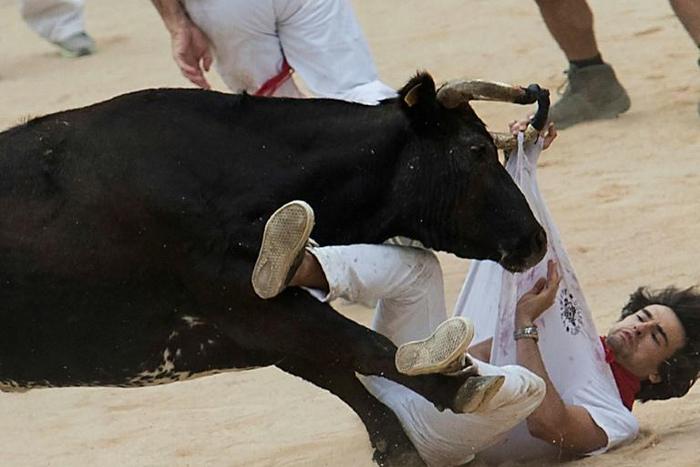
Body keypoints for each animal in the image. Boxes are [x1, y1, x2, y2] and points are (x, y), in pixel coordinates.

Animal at [0, 72, 548, 466]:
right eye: (477, 150)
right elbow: (366, 348)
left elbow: (345, 372)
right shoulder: (248, 306)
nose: (536, 240)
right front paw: (459, 385)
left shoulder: (252, 327)